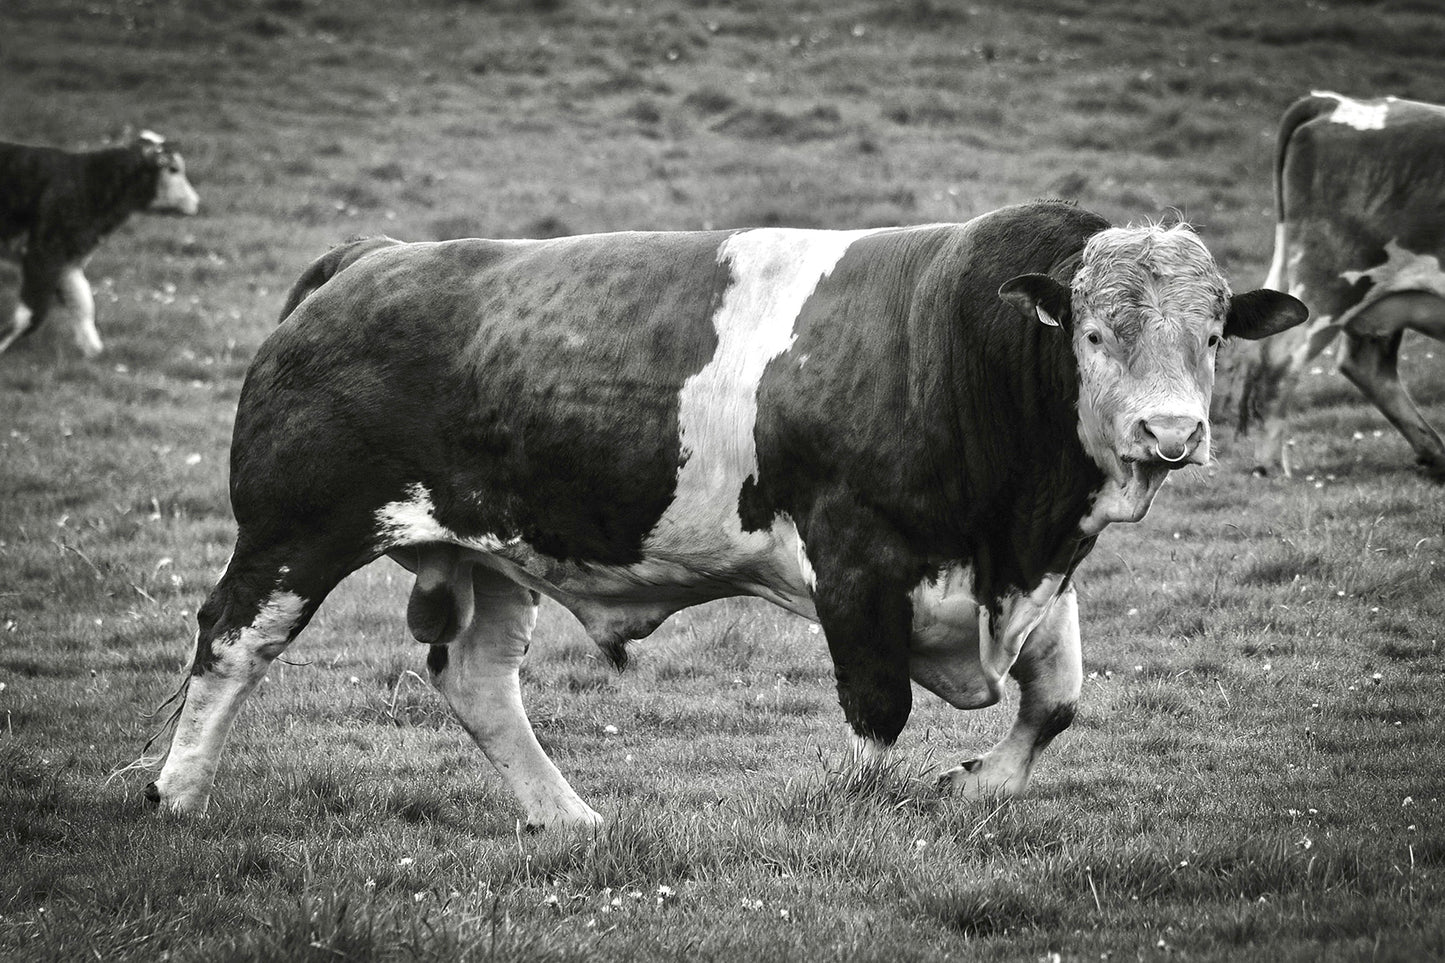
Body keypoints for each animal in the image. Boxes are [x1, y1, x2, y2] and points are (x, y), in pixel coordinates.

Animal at [0, 130, 200, 359]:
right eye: (173, 169)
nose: (196, 202)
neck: (90, 184)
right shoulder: (43, 254)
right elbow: (31, 314)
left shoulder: (68, 262)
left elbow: (83, 302)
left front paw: (93, 351)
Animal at [143, 200, 1305, 830]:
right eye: (1096, 334)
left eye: (1212, 333)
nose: (1168, 431)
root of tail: (372, 258)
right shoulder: (857, 563)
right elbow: (876, 714)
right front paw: (860, 814)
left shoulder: (1029, 570)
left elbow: (1055, 701)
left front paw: (975, 785)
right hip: (295, 532)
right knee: (230, 643)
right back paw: (177, 793)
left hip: (496, 553)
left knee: (474, 680)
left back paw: (565, 817)